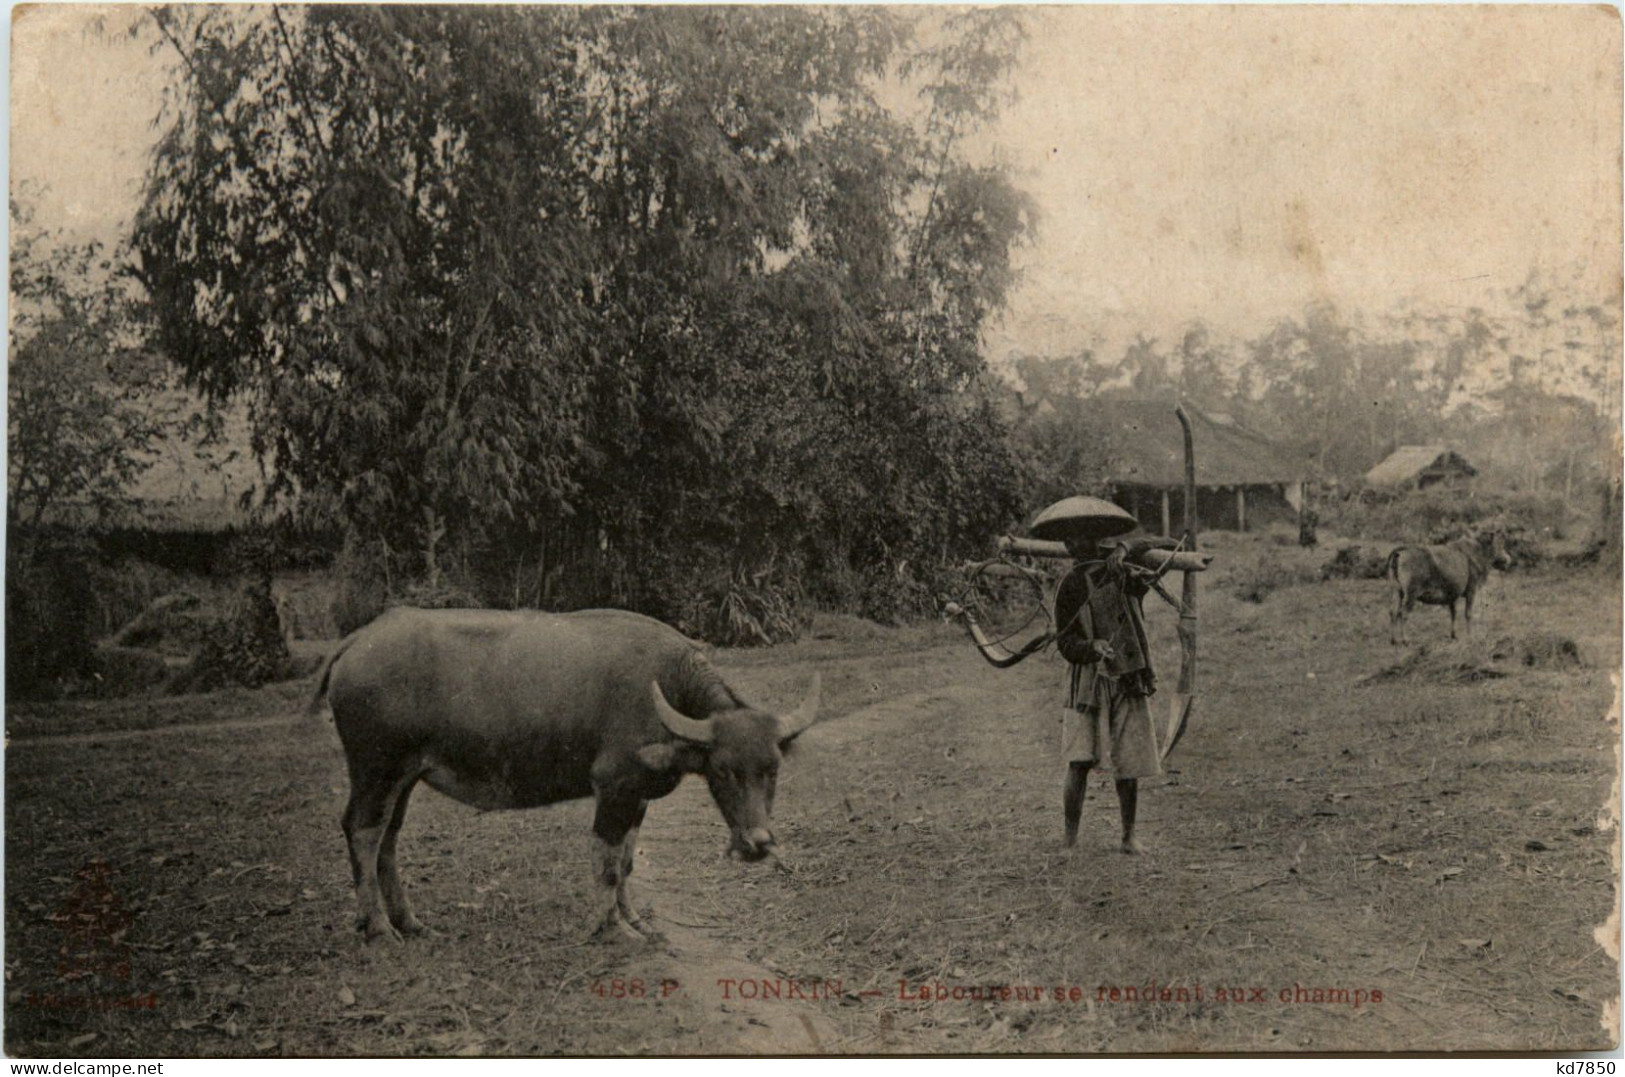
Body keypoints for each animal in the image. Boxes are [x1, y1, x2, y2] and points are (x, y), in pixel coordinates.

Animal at [308, 610, 825, 948]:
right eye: (722, 769)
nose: (758, 842)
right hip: (376, 770)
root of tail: (358, 640)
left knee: (389, 837)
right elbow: (607, 861)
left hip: (404, 777)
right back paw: (378, 927)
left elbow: (627, 861)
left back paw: (409, 922)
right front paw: (612, 928)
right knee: (363, 831)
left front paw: (634, 919)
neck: (666, 688)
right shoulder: (613, 787)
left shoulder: (637, 796)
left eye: (773, 768)